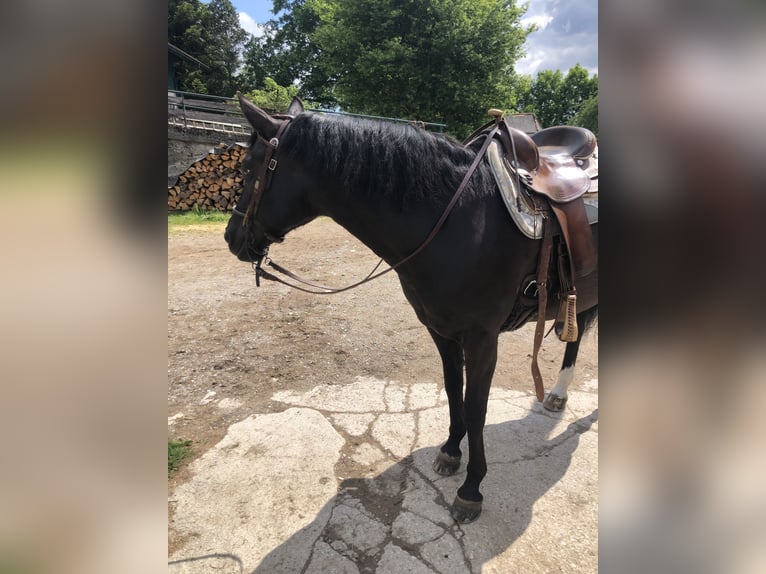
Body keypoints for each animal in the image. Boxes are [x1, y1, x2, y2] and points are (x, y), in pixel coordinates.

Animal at [224, 94, 598, 523]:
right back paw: (557, 394)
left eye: (248, 167)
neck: (460, 219)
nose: (231, 237)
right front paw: (450, 452)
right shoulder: (441, 330)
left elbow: (476, 407)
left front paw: (471, 489)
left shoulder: (482, 337)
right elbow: (453, 391)